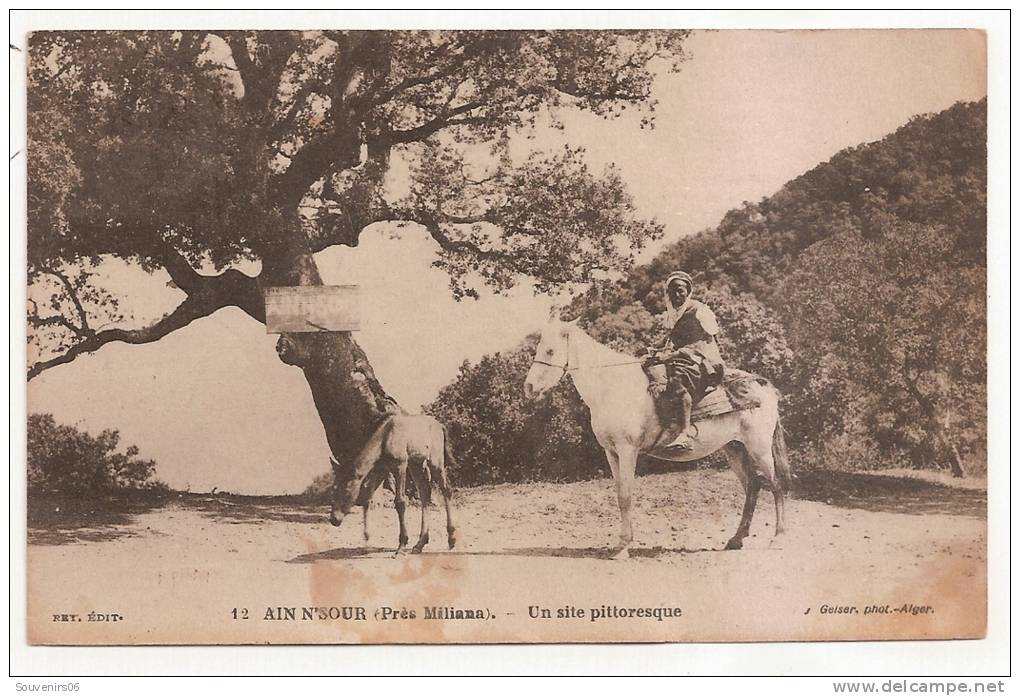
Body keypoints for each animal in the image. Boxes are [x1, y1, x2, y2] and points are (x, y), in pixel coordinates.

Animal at [328, 414, 457, 555]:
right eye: (333, 489)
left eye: (346, 490)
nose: (334, 519)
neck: (385, 438)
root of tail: (441, 426)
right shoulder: (380, 470)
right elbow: (367, 499)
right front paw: (367, 539)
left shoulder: (400, 466)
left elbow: (400, 502)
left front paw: (402, 544)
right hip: (415, 464)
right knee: (425, 493)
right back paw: (420, 544)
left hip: (435, 461)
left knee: (446, 490)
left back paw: (451, 538)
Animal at [523, 319, 791, 559]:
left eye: (550, 350)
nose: (529, 387)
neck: (612, 387)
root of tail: (763, 386)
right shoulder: (611, 452)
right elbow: (619, 494)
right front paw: (621, 543)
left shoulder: (627, 450)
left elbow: (626, 496)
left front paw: (623, 548)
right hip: (734, 450)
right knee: (753, 486)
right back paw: (736, 539)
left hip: (759, 448)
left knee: (776, 485)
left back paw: (778, 537)